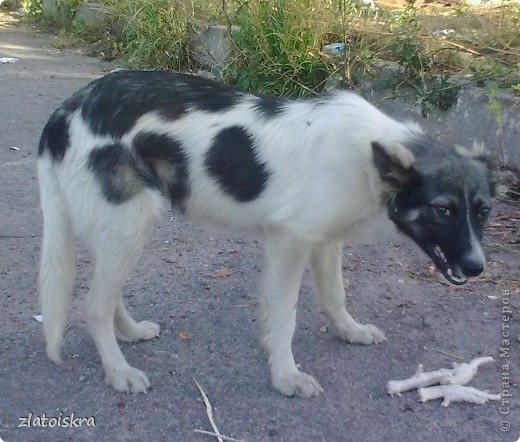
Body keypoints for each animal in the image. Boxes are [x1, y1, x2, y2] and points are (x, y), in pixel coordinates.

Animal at [36, 70, 492, 398]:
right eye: (444, 210)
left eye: (484, 211)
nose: (476, 268)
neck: (365, 158)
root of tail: (66, 110)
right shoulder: (289, 242)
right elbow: (285, 317)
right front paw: (286, 376)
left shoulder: (325, 240)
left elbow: (335, 298)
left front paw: (350, 332)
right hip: (131, 221)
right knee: (94, 306)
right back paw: (119, 372)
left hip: (121, 229)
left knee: (109, 294)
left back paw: (130, 332)